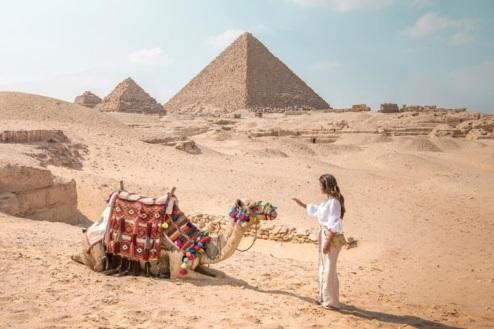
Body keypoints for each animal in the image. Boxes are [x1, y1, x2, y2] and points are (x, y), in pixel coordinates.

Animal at [71, 190, 276, 280]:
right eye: (252, 206)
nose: (273, 210)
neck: (199, 245)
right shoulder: (178, 267)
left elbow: (217, 274)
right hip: (97, 253)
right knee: (95, 263)